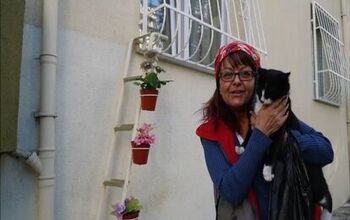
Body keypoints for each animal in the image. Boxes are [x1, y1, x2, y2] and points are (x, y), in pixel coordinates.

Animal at [253, 68, 332, 218]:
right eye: (259, 88)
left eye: (271, 89)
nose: (261, 99)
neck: (265, 108)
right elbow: (255, 139)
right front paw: (242, 148)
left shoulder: (279, 131)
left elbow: (272, 152)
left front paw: (267, 172)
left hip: (314, 179)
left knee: (324, 197)